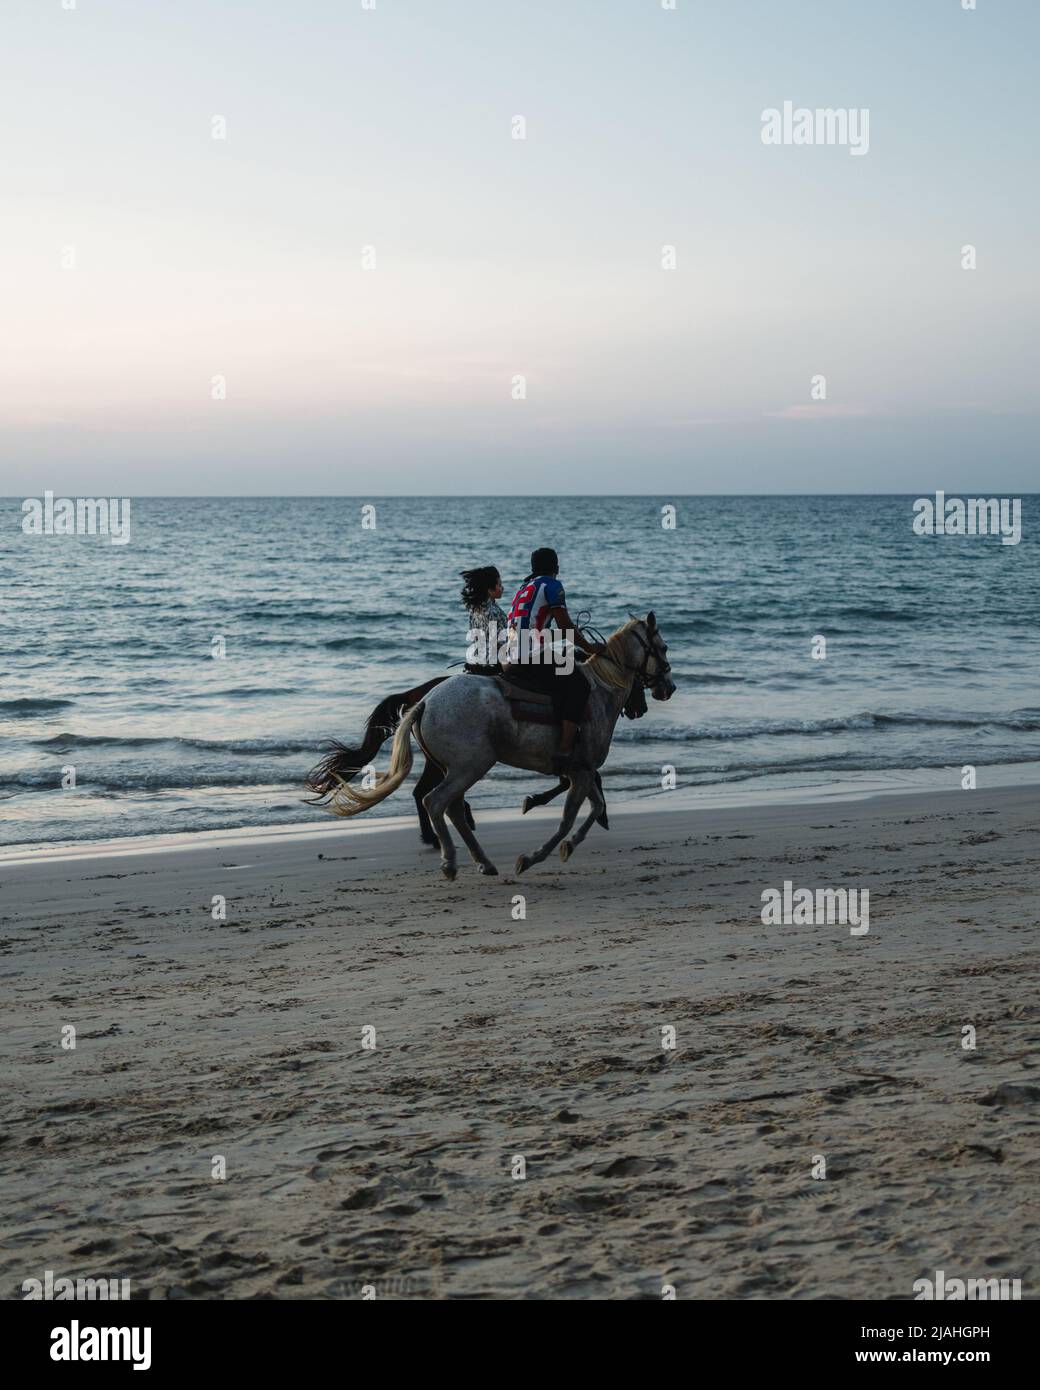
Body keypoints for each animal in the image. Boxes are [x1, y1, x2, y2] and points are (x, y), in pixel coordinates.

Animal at [312, 619, 675, 878]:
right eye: (663, 646)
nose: (667, 688)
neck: (598, 688)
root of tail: (425, 702)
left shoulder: (580, 771)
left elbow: (594, 807)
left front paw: (568, 844)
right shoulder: (582, 771)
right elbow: (569, 818)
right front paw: (535, 856)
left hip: (455, 768)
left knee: (451, 808)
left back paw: (482, 861)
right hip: (469, 765)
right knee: (434, 801)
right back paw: (450, 861)